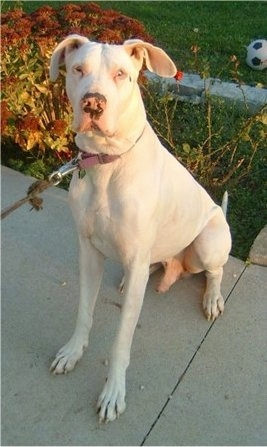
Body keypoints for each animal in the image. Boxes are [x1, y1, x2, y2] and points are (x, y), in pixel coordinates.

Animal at [49, 36, 232, 424]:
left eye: (122, 74)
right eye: (78, 69)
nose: (93, 103)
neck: (107, 163)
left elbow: (121, 340)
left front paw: (113, 392)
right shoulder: (88, 251)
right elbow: (84, 311)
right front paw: (73, 351)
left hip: (208, 242)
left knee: (215, 271)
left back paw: (212, 297)